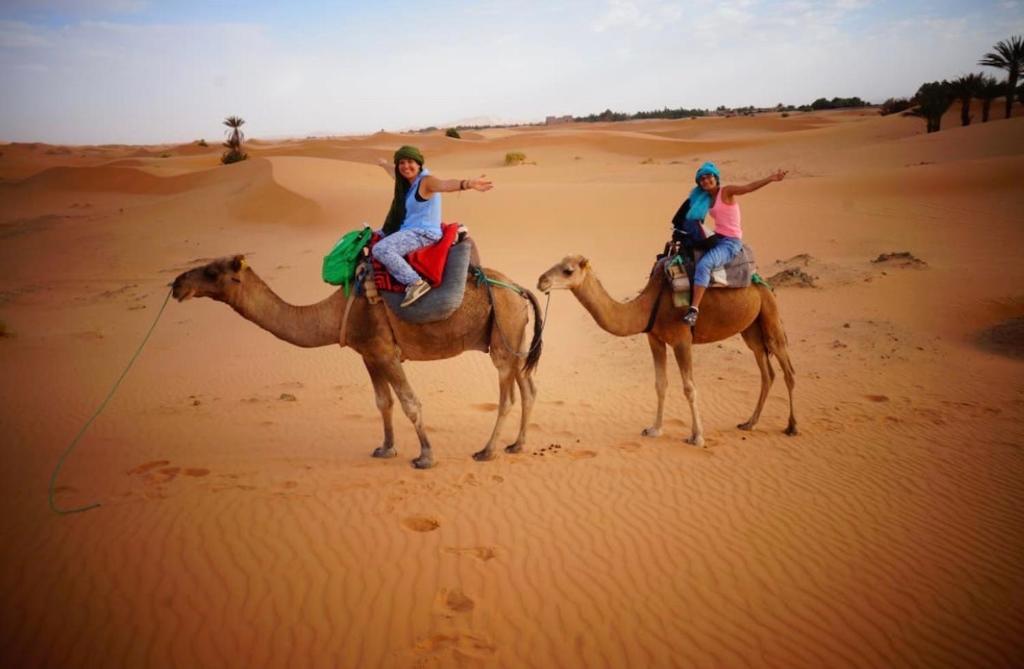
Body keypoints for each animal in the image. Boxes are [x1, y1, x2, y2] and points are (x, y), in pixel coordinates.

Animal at [174, 253, 544, 467]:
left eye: (211, 272)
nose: (177, 284)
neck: (338, 310)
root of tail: (519, 288)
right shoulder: (368, 354)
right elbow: (383, 402)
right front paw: (386, 448)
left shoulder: (385, 351)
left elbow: (410, 402)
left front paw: (425, 456)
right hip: (514, 338)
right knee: (528, 388)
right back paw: (517, 445)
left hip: (503, 334)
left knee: (508, 395)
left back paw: (486, 451)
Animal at [540, 258, 794, 446]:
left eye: (568, 270)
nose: (541, 281)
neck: (649, 306)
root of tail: (761, 281)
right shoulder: (655, 339)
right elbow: (660, 384)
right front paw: (654, 429)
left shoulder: (682, 340)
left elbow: (689, 388)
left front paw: (697, 437)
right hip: (751, 329)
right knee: (767, 372)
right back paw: (750, 423)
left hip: (770, 314)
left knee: (787, 369)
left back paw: (791, 426)